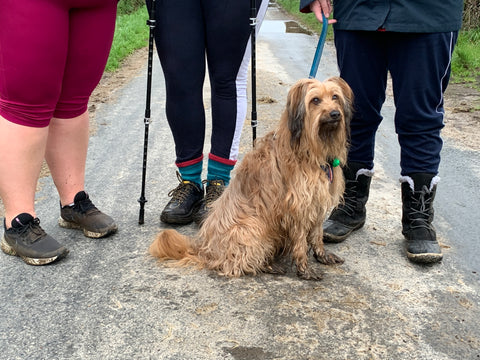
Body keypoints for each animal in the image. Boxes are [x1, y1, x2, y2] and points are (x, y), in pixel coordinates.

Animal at [149, 78, 352, 282]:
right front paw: (305, 269)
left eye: (335, 97)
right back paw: (268, 265)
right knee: (240, 261)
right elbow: (301, 242)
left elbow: (317, 235)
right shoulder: (297, 208)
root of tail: (205, 250)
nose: (335, 113)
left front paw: (322, 256)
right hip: (253, 227)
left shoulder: (316, 202)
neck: (310, 148)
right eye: (315, 100)